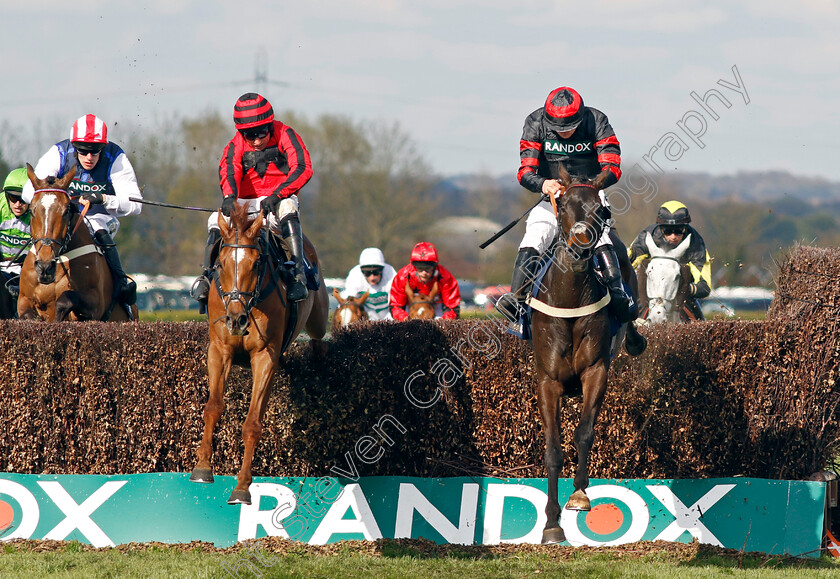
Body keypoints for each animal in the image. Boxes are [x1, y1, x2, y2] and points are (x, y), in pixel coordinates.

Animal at [17, 165, 139, 324]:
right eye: (31, 210)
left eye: (66, 210)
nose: (45, 267)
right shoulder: (24, 300)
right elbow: (28, 314)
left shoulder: (95, 303)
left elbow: (66, 300)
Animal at [192, 206, 330, 506]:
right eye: (221, 263)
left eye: (256, 264)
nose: (236, 319)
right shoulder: (219, 349)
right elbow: (213, 407)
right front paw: (202, 467)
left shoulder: (265, 356)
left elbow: (252, 423)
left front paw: (242, 487)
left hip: (318, 318)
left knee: (319, 340)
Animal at [528, 165, 648, 548]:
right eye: (563, 204)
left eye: (601, 210)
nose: (581, 243)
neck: (569, 300)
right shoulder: (548, 381)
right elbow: (552, 449)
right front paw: (551, 525)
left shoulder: (596, 371)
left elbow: (584, 432)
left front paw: (580, 495)